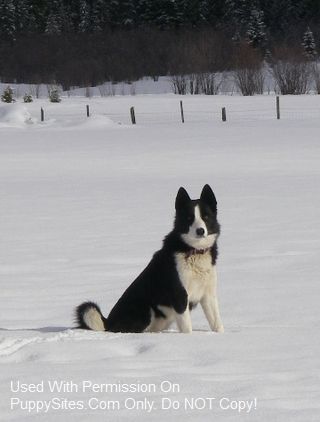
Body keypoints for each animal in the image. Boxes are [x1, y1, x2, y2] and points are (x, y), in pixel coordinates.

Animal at [76, 185, 224, 332]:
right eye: (189, 218)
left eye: (206, 217)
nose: (200, 231)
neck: (194, 251)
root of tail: (108, 323)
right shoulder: (180, 296)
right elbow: (187, 328)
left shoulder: (208, 295)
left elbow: (217, 323)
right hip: (145, 312)